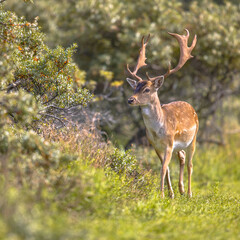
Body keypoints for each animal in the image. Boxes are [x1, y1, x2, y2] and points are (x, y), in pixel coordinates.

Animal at [126, 30, 198, 198]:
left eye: (147, 89)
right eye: (135, 87)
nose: (130, 99)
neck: (157, 131)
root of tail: (191, 107)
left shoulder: (169, 144)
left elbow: (163, 168)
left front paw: (162, 195)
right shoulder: (154, 145)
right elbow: (166, 168)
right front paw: (170, 194)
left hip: (194, 138)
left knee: (190, 163)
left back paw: (189, 193)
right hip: (179, 145)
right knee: (182, 157)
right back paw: (181, 189)